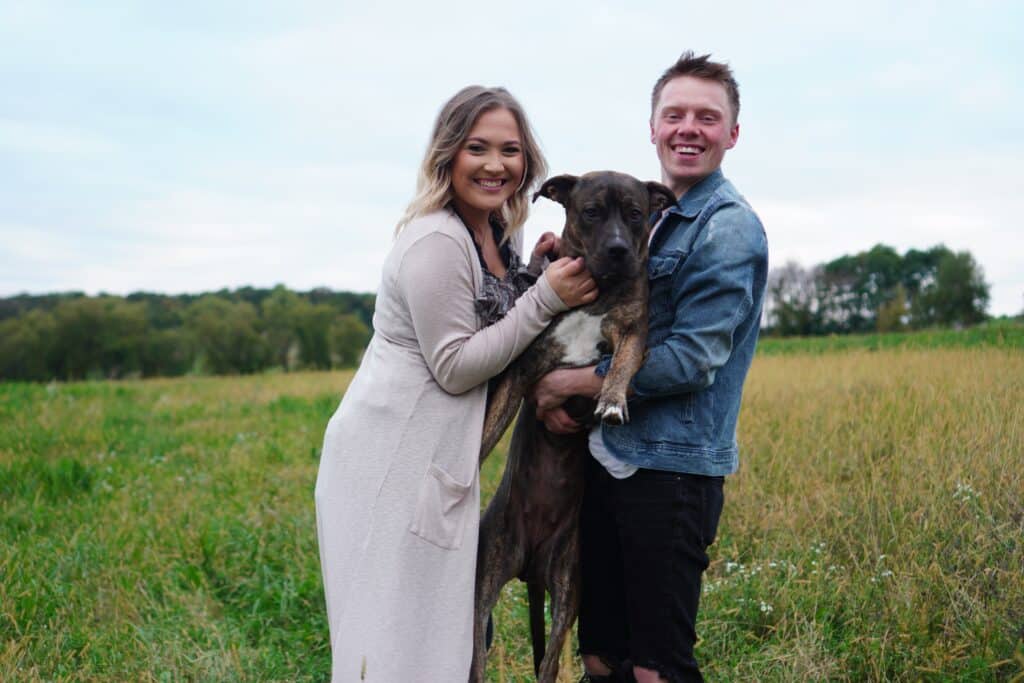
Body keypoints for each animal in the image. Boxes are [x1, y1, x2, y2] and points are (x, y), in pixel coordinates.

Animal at [471, 171, 679, 683]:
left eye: (636, 214)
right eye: (591, 212)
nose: (620, 249)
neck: (597, 289)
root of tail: (528, 563)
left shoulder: (635, 333)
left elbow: (621, 362)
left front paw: (612, 400)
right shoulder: (520, 369)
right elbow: (487, 428)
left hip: (567, 589)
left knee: (548, 662)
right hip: (484, 587)